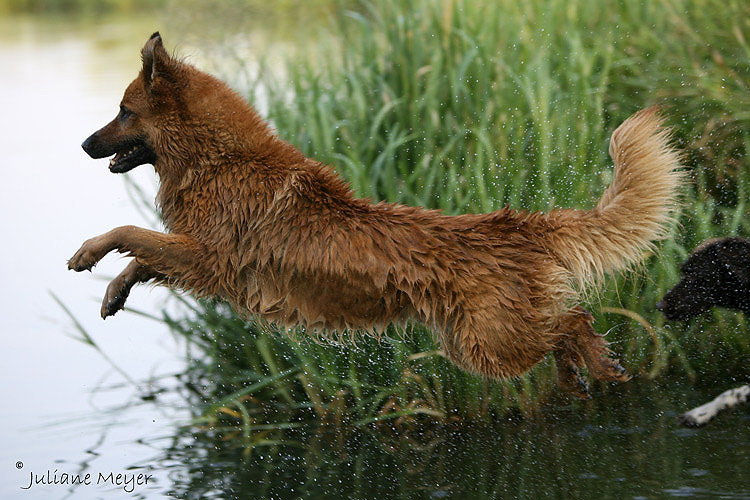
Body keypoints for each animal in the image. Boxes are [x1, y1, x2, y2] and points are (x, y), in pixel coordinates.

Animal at [70, 33, 688, 396]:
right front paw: (114, 291)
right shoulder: (199, 258)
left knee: (571, 322)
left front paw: (87, 253)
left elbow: (130, 232)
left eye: (123, 111)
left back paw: (598, 364)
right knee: (565, 328)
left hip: (487, 344)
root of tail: (517, 225)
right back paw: (580, 375)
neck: (219, 158)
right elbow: (143, 255)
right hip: (478, 343)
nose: (82, 144)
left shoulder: (210, 258)